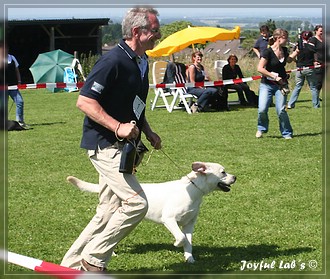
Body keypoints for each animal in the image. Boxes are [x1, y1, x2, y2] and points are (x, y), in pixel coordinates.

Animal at [66, 163, 235, 264]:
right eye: (223, 172)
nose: (235, 177)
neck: (193, 191)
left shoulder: (189, 224)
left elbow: (188, 243)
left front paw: (189, 259)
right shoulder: (169, 219)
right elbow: (180, 237)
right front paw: (176, 244)